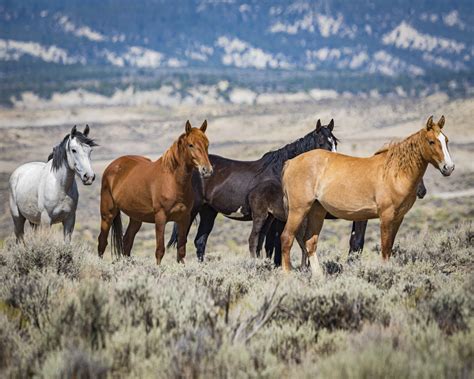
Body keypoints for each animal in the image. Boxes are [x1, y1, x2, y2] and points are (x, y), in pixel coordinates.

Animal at [97, 121, 212, 264]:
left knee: (127, 241)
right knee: (102, 241)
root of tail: (112, 165)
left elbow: (181, 250)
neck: (172, 181)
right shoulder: (160, 218)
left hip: (136, 217)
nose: (207, 170)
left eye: (207, 144)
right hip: (107, 214)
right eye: (190, 145)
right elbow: (160, 250)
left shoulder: (184, 218)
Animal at [282, 114, 456, 274]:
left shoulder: (398, 218)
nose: (449, 168)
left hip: (316, 211)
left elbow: (389, 249)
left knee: (309, 242)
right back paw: (288, 277)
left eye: (446, 140)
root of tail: (290, 162)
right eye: (431, 141)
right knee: (286, 239)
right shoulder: (386, 216)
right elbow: (385, 250)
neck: (393, 172)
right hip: (298, 210)